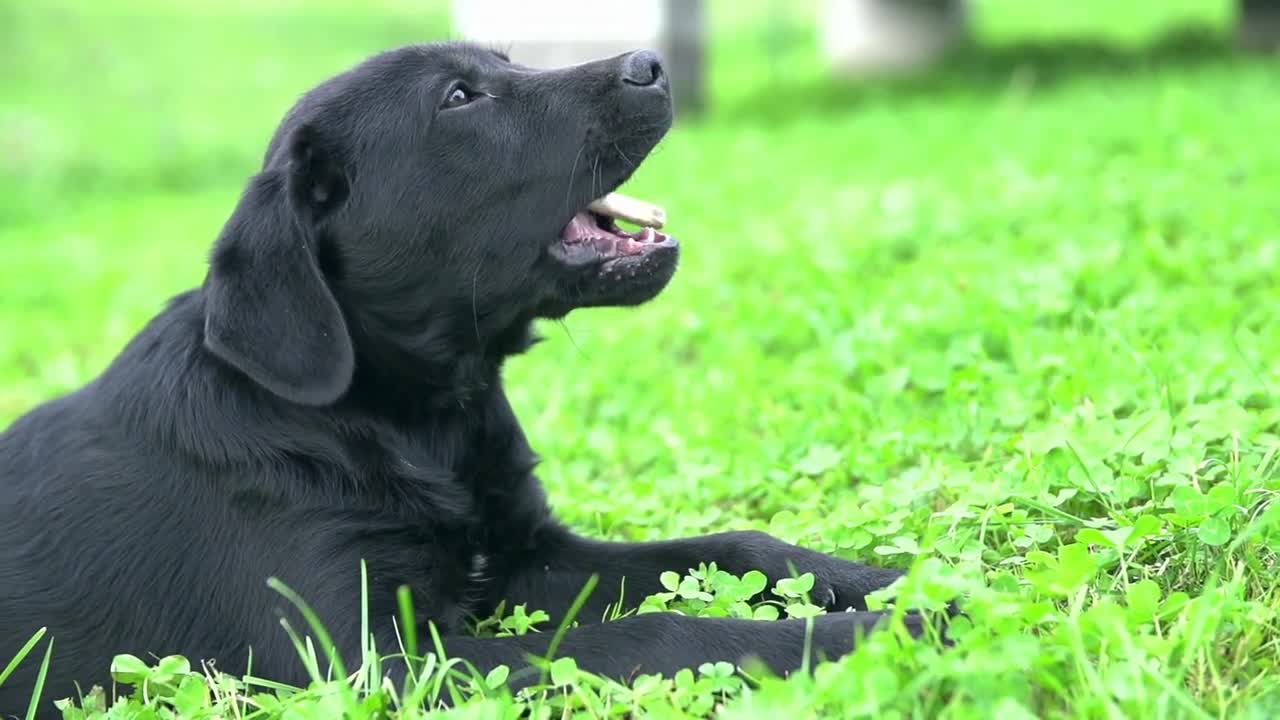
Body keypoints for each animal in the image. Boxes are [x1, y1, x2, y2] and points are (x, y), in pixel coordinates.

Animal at [2, 43, 911, 712]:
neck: (413, 419)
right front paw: (877, 633)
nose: (650, 63)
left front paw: (894, 585)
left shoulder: (526, 557)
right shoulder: (371, 664)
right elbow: (654, 632)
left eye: (504, 64)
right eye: (460, 99)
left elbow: (737, 547)